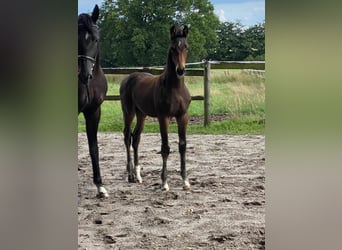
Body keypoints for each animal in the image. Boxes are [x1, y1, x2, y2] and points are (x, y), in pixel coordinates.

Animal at [119, 25, 191, 190]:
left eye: (186, 47)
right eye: (172, 48)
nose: (180, 70)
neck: (175, 88)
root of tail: (128, 78)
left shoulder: (182, 116)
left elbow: (182, 146)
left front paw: (185, 181)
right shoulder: (163, 117)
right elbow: (165, 148)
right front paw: (164, 183)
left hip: (141, 114)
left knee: (136, 137)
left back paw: (138, 175)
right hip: (129, 112)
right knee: (127, 136)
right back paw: (130, 175)